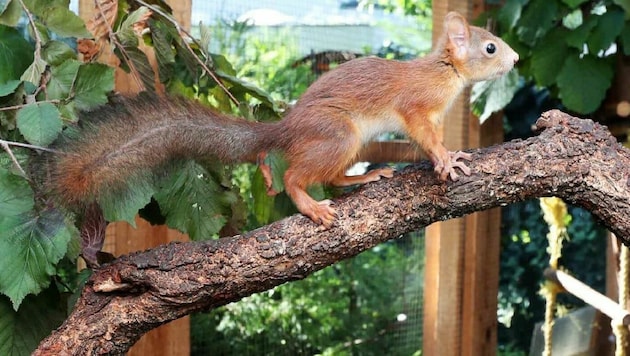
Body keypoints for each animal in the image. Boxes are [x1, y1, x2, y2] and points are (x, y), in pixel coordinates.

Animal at [48, 11, 520, 228]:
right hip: (339, 135)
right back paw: (311, 206)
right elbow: (423, 133)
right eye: (490, 48)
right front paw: (445, 158)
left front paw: (449, 153)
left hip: (352, 144)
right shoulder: (417, 106)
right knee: (295, 176)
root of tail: (285, 129)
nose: (515, 59)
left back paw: (364, 177)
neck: (447, 70)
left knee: (331, 177)